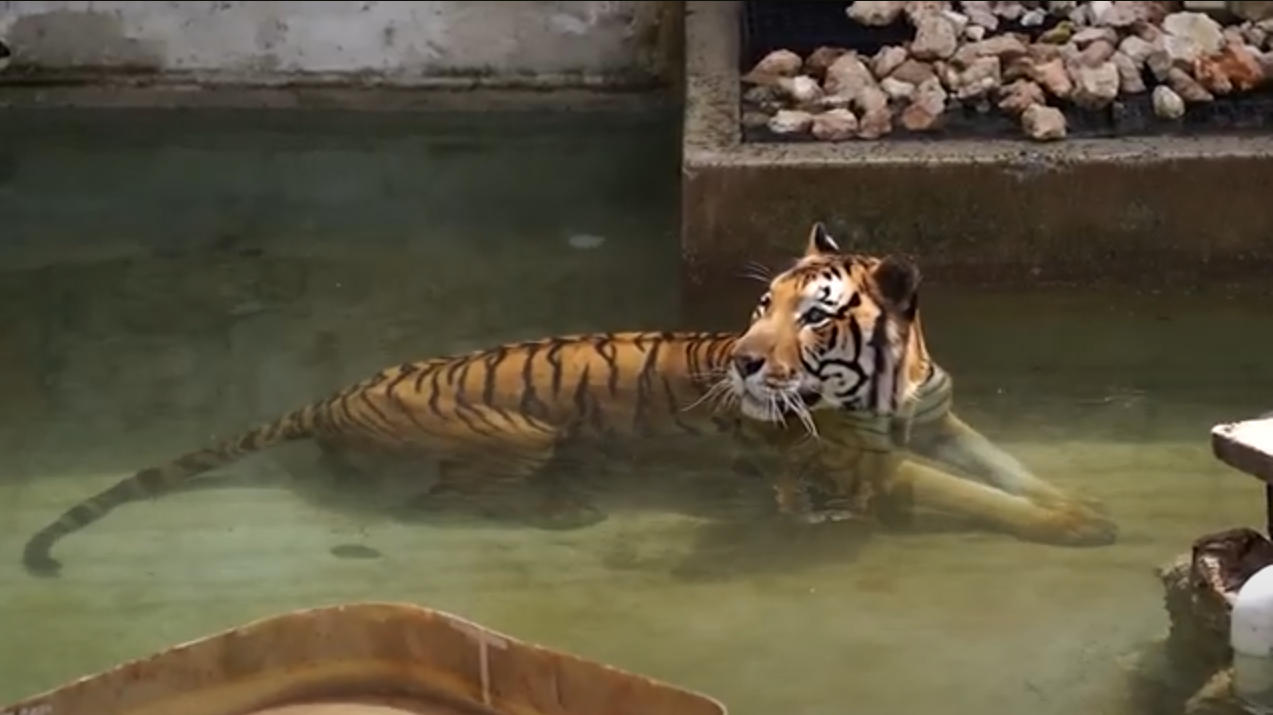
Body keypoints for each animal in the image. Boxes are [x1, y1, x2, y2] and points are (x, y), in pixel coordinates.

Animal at [20, 222, 1116, 577]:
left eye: (810, 313)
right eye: (756, 306)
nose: (745, 363)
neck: (887, 383)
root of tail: (329, 396)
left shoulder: (938, 421)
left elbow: (1007, 467)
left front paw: (1076, 500)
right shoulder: (872, 466)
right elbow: (975, 496)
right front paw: (1077, 525)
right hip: (515, 436)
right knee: (439, 500)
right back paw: (565, 508)